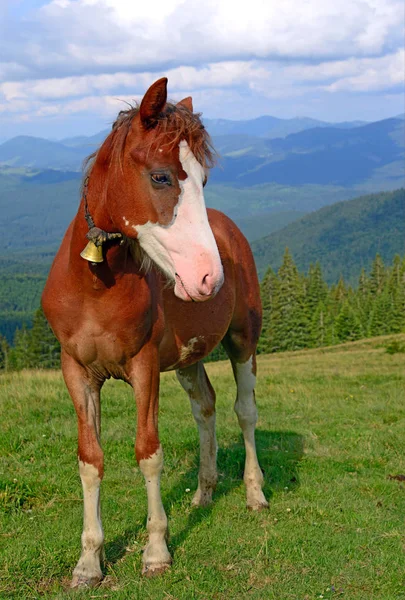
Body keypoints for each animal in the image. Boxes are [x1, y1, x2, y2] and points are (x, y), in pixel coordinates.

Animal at [41, 77, 268, 588]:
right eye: (162, 177)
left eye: (203, 181)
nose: (208, 278)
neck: (97, 286)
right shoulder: (76, 372)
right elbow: (90, 459)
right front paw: (88, 561)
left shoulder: (143, 367)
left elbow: (148, 452)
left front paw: (157, 551)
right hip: (187, 359)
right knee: (206, 407)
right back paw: (204, 493)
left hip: (243, 341)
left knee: (245, 412)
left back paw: (254, 493)